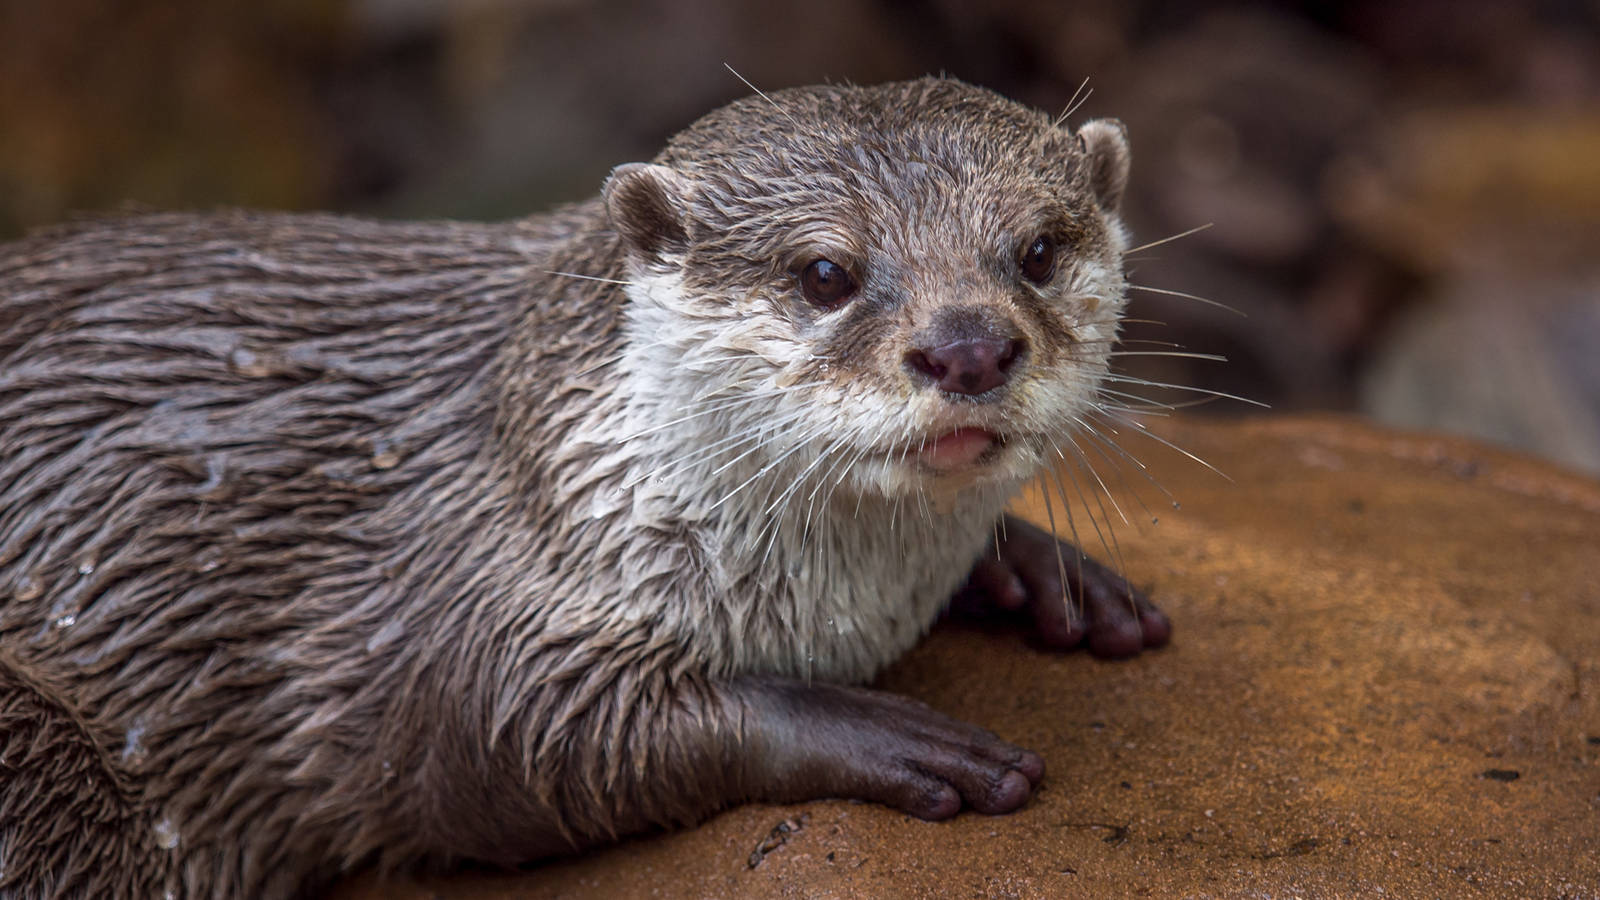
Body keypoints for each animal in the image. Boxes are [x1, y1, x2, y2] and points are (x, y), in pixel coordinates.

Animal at [0, 77, 1169, 898]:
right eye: (825, 274)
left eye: (1037, 250)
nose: (968, 347)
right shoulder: (476, 582)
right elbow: (502, 741)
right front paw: (892, 733)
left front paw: (1051, 576)